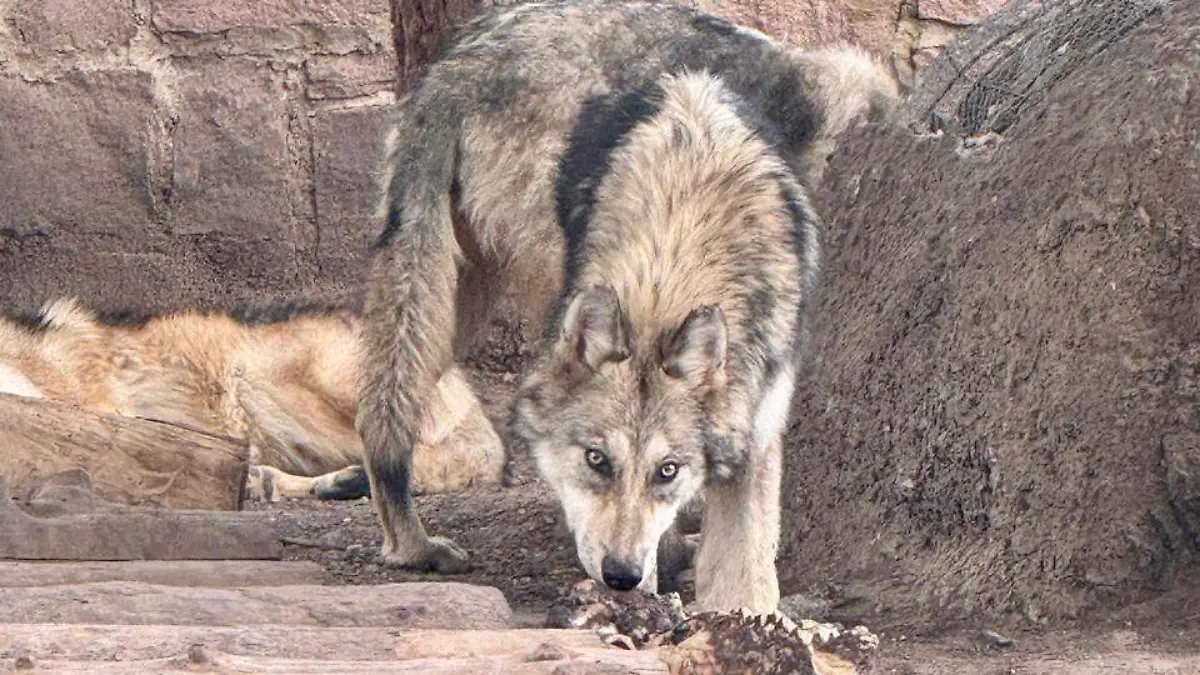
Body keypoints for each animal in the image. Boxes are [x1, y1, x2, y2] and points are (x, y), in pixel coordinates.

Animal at [358, 0, 899, 613]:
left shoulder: (755, 419)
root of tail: (459, 69)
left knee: (376, 410)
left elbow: (745, 569)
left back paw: (410, 547)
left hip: (451, 300)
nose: (620, 574)